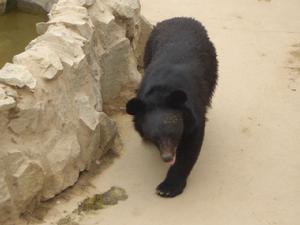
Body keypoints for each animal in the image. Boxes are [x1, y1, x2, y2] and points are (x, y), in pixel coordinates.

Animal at [125, 17, 217, 197]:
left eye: (172, 134)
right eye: (155, 137)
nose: (167, 157)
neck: (161, 92)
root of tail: (181, 18)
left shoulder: (193, 111)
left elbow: (190, 147)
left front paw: (167, 188)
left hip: (212, 64)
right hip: (148, 50)